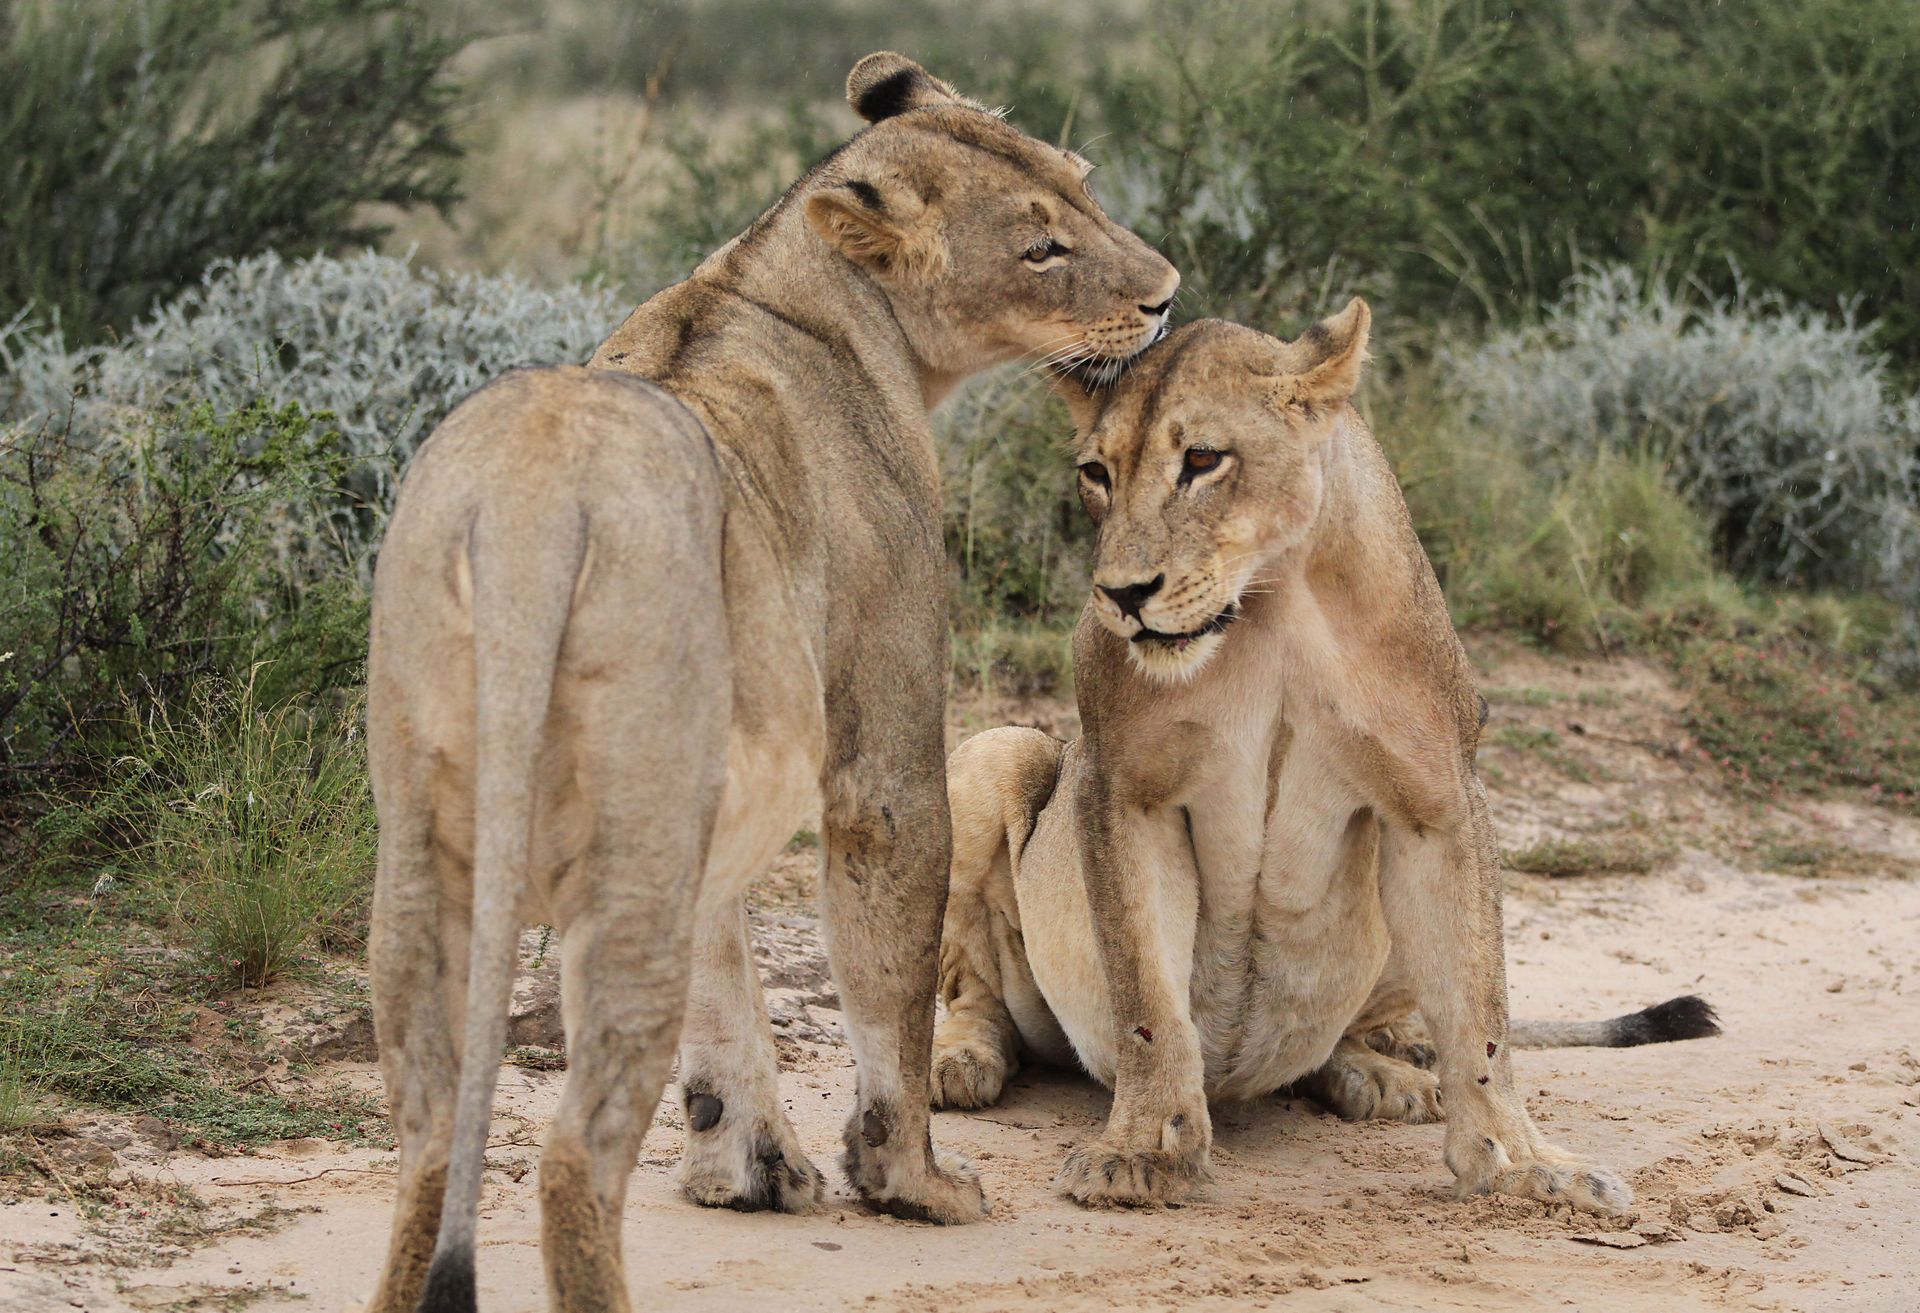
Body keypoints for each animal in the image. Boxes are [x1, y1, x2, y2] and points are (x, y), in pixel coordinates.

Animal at [365, 52, 1179, 1313]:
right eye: (1041, 246)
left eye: (1084, 183)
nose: (1168, 297)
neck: (794, 286)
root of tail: (535, 507)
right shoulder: (880, 742)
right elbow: (888, 970)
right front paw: (908, 1181)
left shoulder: (725, 790)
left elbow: (728, 977)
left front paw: (747, 1167)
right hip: (619, 870)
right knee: (568, 1155)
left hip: (420, 855)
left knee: (428, 1138)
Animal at [929, 306, 1719, 1215]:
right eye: (1098, 472)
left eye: (1203, 459)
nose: (1123, 595)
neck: (1272, 599)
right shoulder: (1122, 788)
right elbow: (1146, 999)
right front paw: (1145, 1149)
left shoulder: (1443, 803)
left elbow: (1482, 1011)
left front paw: (1520, 1163)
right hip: (998, 751)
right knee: (976, 991)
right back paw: (958, 1063)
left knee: (1372, 1029)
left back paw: (1381, 1075)